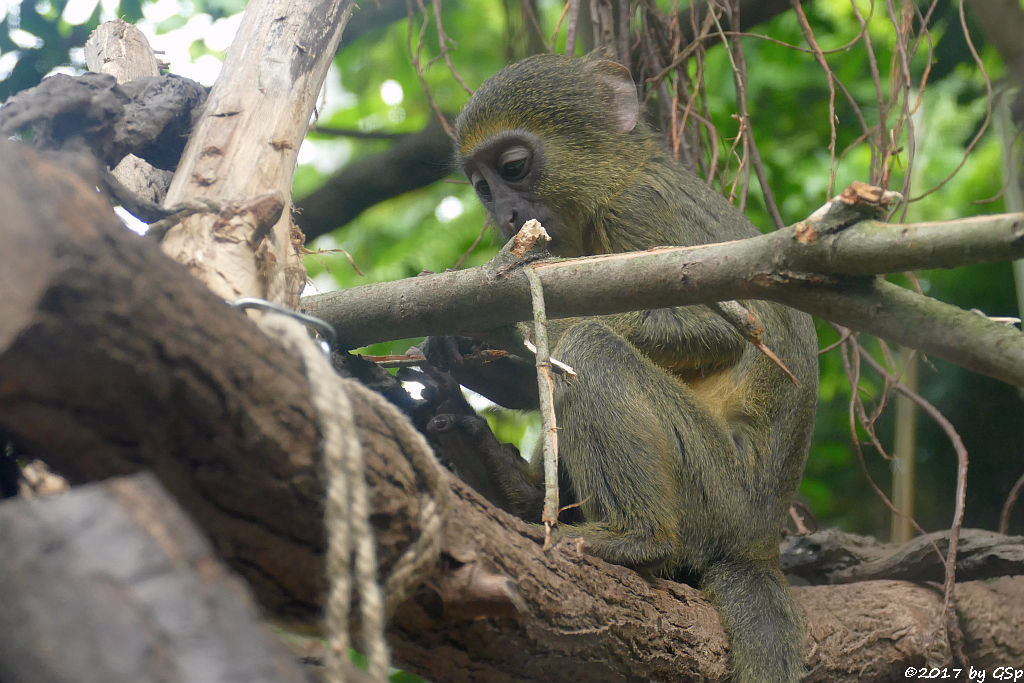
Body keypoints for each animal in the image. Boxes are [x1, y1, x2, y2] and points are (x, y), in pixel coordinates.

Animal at [419, 54, 819, 683]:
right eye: (482, 188)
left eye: (513, 168)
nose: (506, 215)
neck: (616, 179)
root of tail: (759, 541)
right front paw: (465, 355)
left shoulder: (640, 211)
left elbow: (721, 331)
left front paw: (503, 322)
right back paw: (507, 482)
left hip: (714, 487)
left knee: (593, 348)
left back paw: (635, 538)